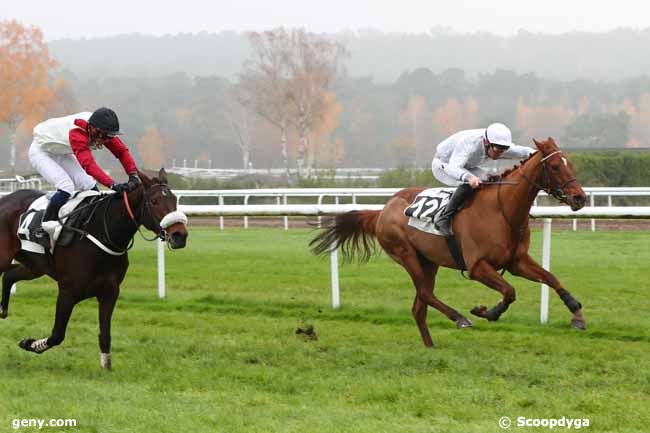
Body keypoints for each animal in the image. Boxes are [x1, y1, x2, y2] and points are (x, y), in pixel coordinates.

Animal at [0, 167, 187, 366]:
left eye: (174, 199)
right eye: (154, 201)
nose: (180, 235)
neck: (102, 231)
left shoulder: (110, 292)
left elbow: (105, 337)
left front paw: (106, 368)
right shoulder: (68, 291)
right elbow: (57, 335)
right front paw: (29, 343)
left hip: (35, 266)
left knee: (9, 276)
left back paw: (2, 310)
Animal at [310, 138, 588, 348]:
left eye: (570, 164)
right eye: (554, 166)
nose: (580, 198)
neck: (502, 211)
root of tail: (382, 210)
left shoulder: (517, 261)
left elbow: (551, 278)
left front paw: (576, 313)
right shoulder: (477, 267)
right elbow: (509, 291)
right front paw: (487, 312)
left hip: (428, 262)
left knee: (419, 306)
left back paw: (430, 346)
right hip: (405, 253)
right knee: (425, 293)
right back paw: (459, 318)